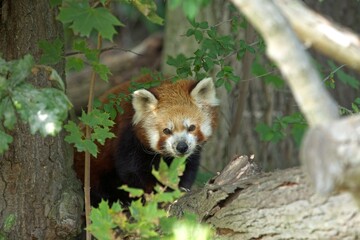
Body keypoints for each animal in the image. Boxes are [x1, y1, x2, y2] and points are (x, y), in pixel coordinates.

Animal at [73, 75, 219, 206]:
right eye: (167, 130)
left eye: (191, 127)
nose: (182, 147)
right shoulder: (128, 139)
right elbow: (132, 173)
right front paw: (154, 194)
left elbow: (186, 169)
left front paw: (179, 189)